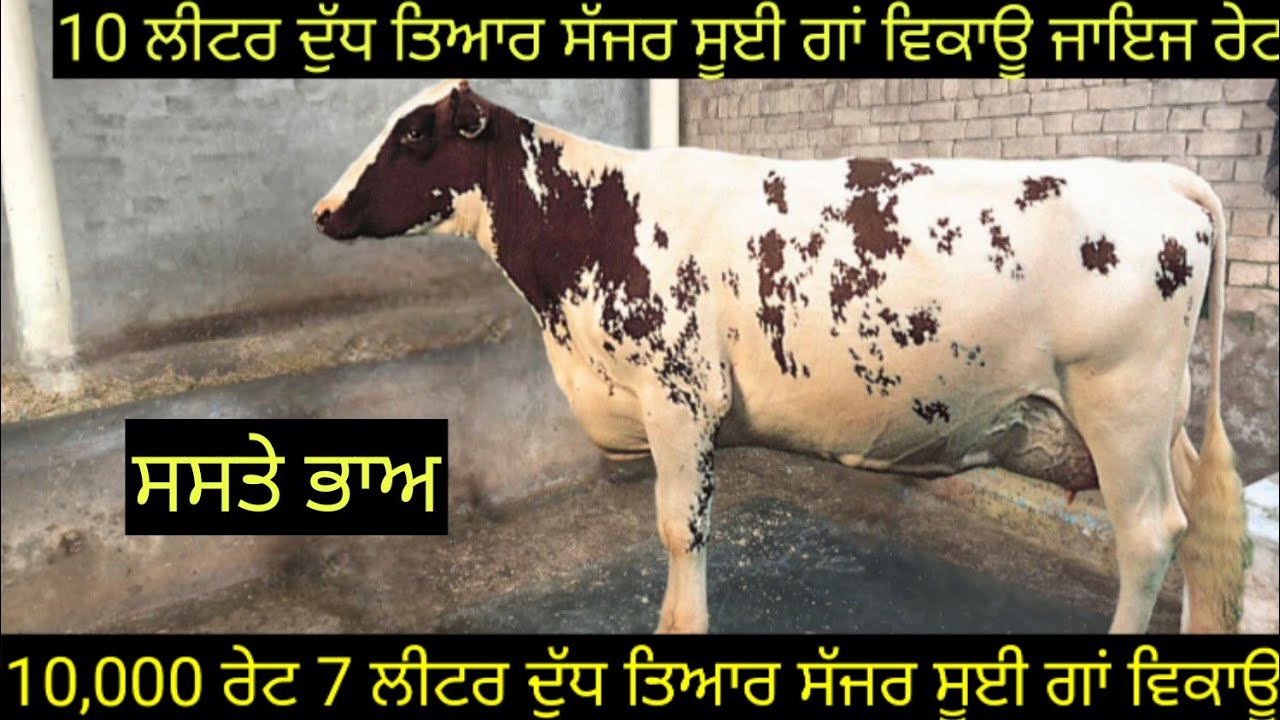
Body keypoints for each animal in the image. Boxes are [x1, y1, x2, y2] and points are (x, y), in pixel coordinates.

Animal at [313, 79, 1251, 634]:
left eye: (414, 136)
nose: (323, 211)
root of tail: (1157, 175)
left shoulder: (680, 394)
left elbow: (681, 528)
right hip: (1158, 419)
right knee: (1202, 527)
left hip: (1119, 404)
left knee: (1149, 535)